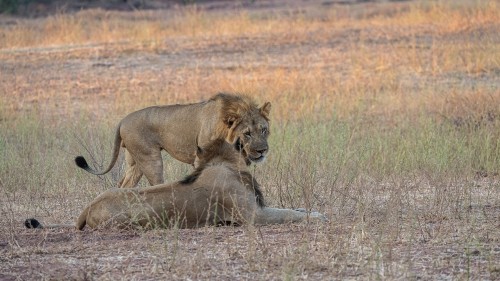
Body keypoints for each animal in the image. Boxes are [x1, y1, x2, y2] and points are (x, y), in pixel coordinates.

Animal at [25, 138, 326, 230]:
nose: (262, 150)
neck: (223, 162)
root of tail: (88, 207)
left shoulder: (259, 210)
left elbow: (293, 209)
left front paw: (311, 211)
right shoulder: (253, 216)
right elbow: (288, 214)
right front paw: (318, 216)